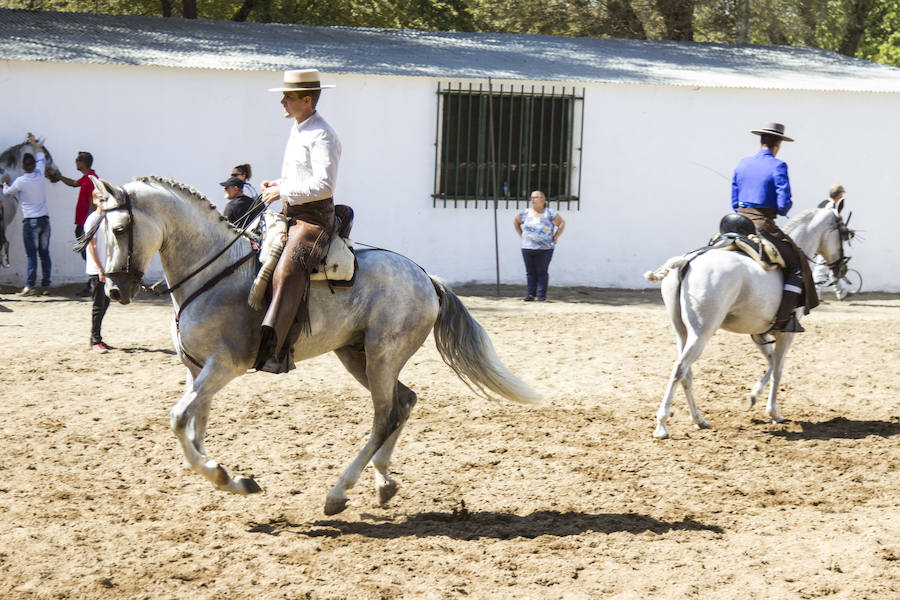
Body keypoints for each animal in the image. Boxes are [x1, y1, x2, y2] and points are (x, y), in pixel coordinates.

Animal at [87, 176, 541, 515]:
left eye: (121, 229)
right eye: (98, 230)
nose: (114, 290)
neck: (213, 271)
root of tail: (425, 276)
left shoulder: (223, 366)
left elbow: (180, 419)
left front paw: (228, 477)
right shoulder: (196, 370)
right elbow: (195, 430)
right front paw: (232, 479)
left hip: (381, 357)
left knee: (385, 416)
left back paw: (339, 492)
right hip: (356, 355)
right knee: (405, 402)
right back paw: (383, 481)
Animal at [644, 206, 850, 439]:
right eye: (844, 233)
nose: (841, 268)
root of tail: (685, 262)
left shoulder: (759, 333)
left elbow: (771, 362)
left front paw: (751, 398)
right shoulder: (786, 334)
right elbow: (778, 369)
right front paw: (772, 412)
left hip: (682, 332)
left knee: (686, 372)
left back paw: (698, 419)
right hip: (701, 332)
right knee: (680, 368)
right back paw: (662, 425)